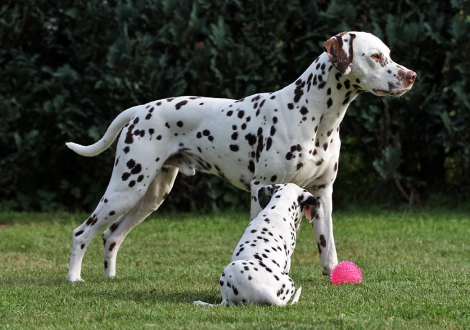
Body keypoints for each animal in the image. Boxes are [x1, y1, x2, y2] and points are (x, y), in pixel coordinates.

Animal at [65, 31, 414, 282]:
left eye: (389, 54)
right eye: (376, 57)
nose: (411, 75)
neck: (315, 116)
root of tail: (139, 110)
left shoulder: (323, 194)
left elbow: (327, 246)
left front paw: (334, 276)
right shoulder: (263, 188)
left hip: (150, 196)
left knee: (111, 235)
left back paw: (111, 278)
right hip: (126, 188)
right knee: (83, 232)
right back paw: (74, 278)